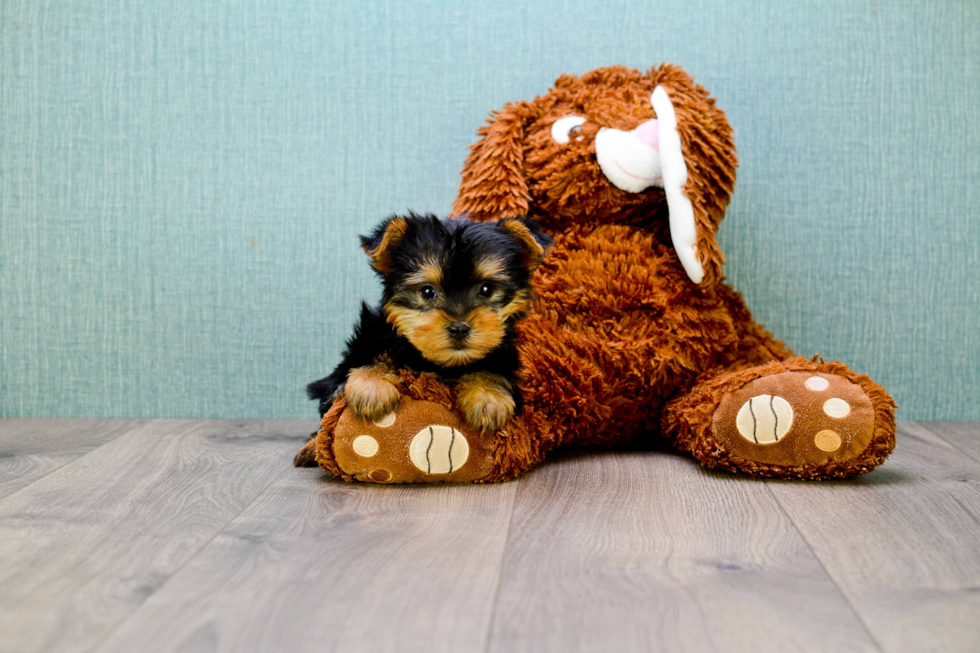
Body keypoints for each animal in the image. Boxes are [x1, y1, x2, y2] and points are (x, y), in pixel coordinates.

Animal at [306, 211, 552, 430]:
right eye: (427, 291)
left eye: (486, 289)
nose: (459, 328)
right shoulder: (369, 338)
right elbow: (367, 357)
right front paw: (371, 387)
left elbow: (493, 368)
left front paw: (488, 397)